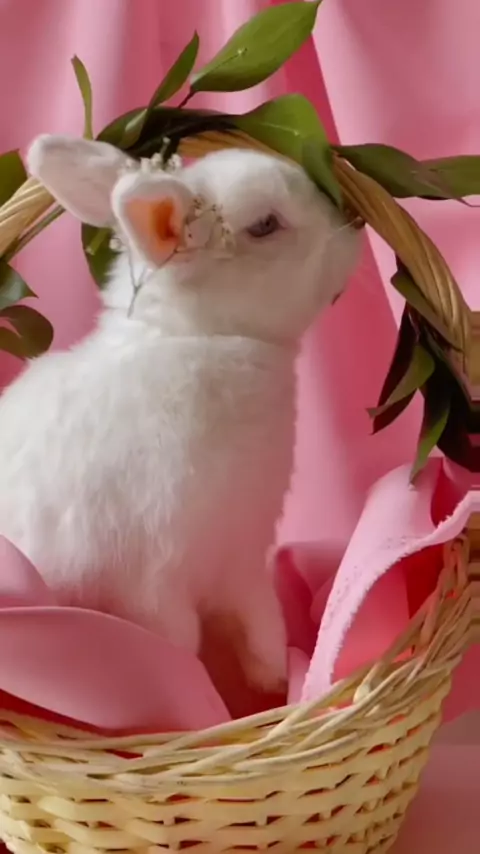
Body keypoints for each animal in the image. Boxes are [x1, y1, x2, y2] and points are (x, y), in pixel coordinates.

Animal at [0, 135, 360, 693]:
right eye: (265, 224)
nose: (353, 228)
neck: (202, 337)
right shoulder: (152, 586)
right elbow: (180, 646)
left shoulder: (242, 562)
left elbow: (263, 629)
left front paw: (273, 682)